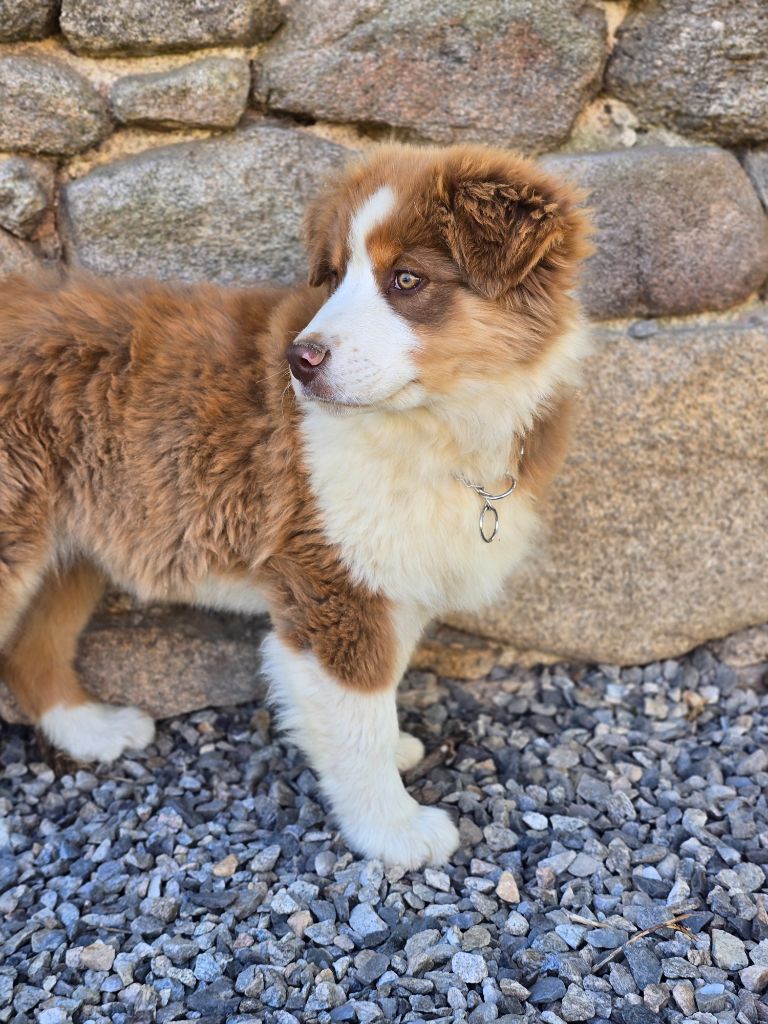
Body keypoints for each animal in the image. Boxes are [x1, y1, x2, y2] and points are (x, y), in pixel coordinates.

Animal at [0, 143, 590, 867]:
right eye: (333, 277)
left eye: (407, 280)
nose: (298, 361)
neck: (436, 427)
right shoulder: (328, 581)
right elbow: (359, 711)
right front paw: (394, 831)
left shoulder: (387, 567)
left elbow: (382, 686)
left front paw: (390, 753)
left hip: (72, 538)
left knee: (30, 649)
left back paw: (90, 729)